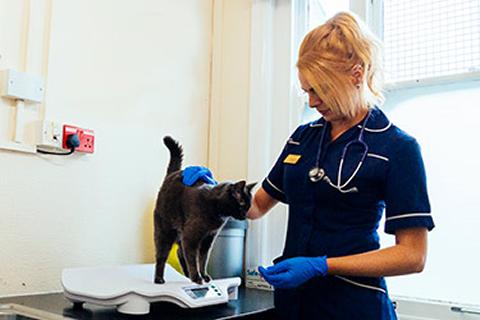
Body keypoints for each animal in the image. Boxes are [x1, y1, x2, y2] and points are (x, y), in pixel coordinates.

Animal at [155, 136, 256, 284]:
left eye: (249, 205)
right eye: (242, 204)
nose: (245, 215)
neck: (215, 208)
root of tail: (172, 174)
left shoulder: (209, 238)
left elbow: (203, 259)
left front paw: (203, 275)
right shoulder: (191, 237)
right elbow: (193, 258)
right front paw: (197, 277)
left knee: (180, 252)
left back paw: (187, 276)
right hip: (165, 229)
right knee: (162, 255)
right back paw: (159, 278)